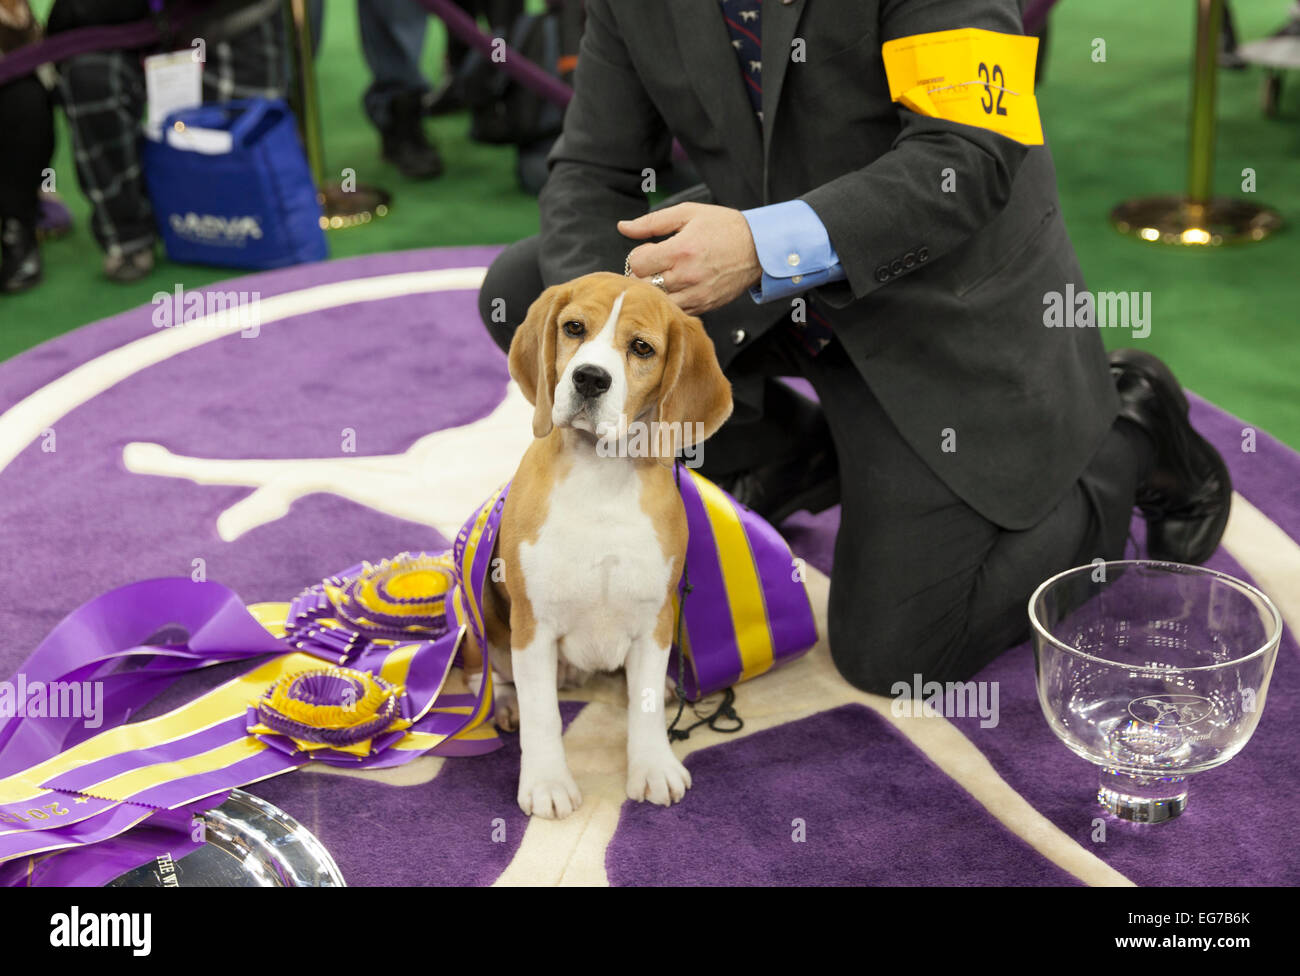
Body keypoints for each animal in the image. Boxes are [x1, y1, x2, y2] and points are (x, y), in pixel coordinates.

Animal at [465, 271, 738, 821]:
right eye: (574, 328)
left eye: (641, 348)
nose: (590, 378)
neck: (600, 475)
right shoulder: (533, 623)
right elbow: (543, 715)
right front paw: (547, 782)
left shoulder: (656, 616)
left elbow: (646, 704)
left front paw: (653, 766)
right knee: (489, 674)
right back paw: (503, 703)